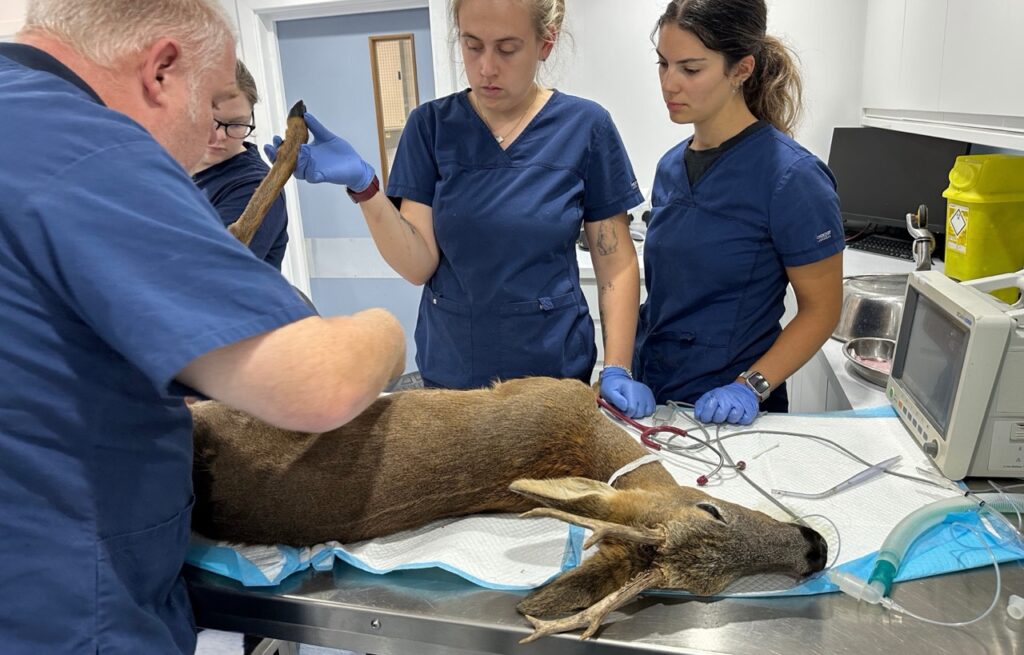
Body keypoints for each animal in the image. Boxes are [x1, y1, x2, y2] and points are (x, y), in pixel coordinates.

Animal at [191, 105, 827, 642]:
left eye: (711, 585)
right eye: (709, 509)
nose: (817, 547)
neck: (586, 443)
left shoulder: (552, 390)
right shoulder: (554, 392)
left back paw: (295, 132)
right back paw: (297, 132)